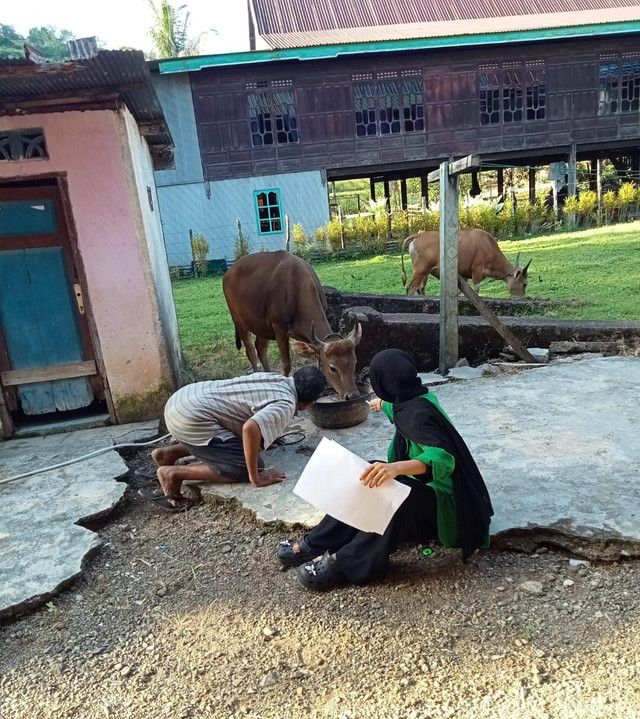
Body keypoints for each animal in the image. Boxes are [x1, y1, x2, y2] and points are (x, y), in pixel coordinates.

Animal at [221, 252, 362, 400]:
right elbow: (287, 364)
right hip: (239, 320)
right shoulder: (279, 329)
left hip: (262, 327)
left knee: (260, 348)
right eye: (332, 368)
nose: (352, 395)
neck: (297, 289)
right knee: (250, 350)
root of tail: (228, 273)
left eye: (354, 362)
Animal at [400, 231, 528, 298]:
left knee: (420, 288)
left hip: (425, 272)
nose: (523, 297)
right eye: (524, 284)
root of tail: (418, 236)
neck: (489, 247)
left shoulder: (464, 276)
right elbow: (476, 290)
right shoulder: (477, 271)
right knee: (411, 288)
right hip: (420, 271)